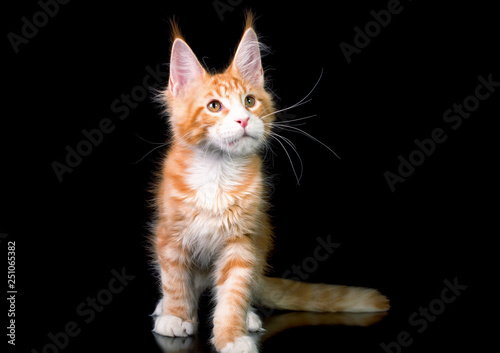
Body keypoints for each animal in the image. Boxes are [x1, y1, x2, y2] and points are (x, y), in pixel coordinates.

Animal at [150, 14, 388, 352]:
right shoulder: (170, 234)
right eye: (214, 106)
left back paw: (248, 317)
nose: (243, 120)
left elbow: (233, 292)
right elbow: (174, 280)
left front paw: (232, 335)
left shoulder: (243, 241)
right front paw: (176, 316)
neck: (218, 173)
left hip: (260, 245)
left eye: (250, 101)